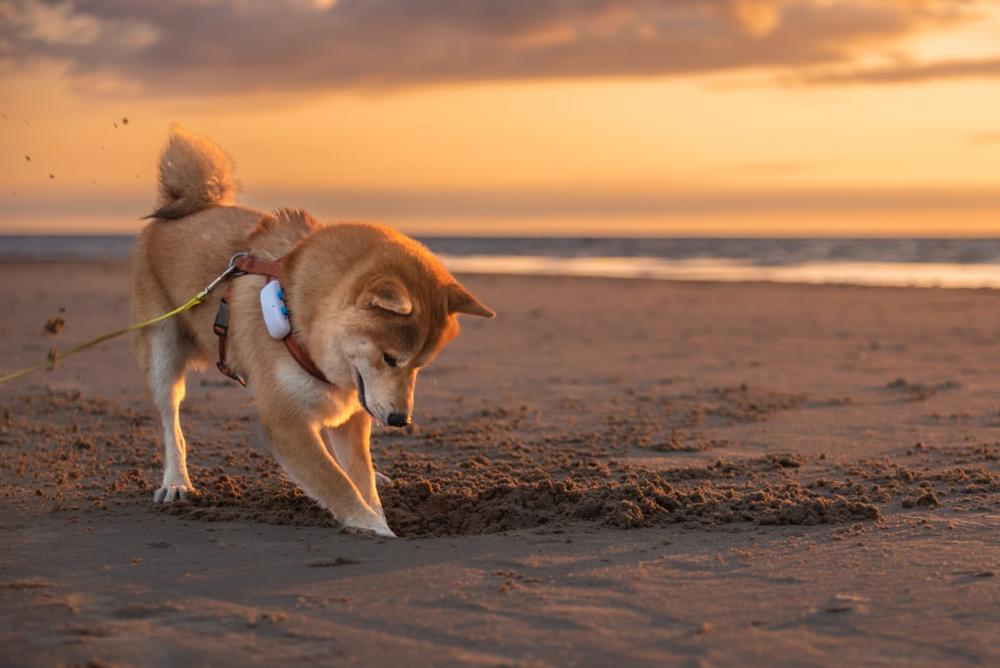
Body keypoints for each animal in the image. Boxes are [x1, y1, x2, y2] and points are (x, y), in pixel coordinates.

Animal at [129, 128, 496, 536]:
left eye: (420, 365)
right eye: (390, 358)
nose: (402, 420)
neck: (303, 319)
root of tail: (189, 207)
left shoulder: (353, 412)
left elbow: (358, 477)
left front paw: (375, 510)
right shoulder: (286, 421)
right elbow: (337, 483)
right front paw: (376, 529)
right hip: (162, 354)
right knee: (171, 424)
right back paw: (176, 481)